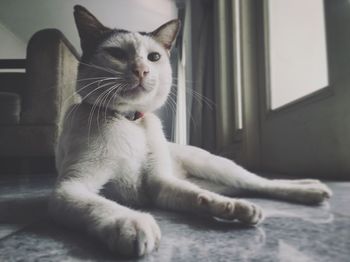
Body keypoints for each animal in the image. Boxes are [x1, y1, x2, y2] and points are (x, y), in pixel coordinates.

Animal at [48, 5, 330, 258]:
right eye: (116, 53)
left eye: (153, 57)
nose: (142, 70)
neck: (130, 120)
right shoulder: (73, 187)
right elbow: (102, 203)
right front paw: (132, 224)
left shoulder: (158, 183)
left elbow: (196, 195)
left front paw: (234, 210)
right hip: (219, 180)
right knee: (245, 187)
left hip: (220, 168)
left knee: (260, 182)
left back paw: (312, 190)